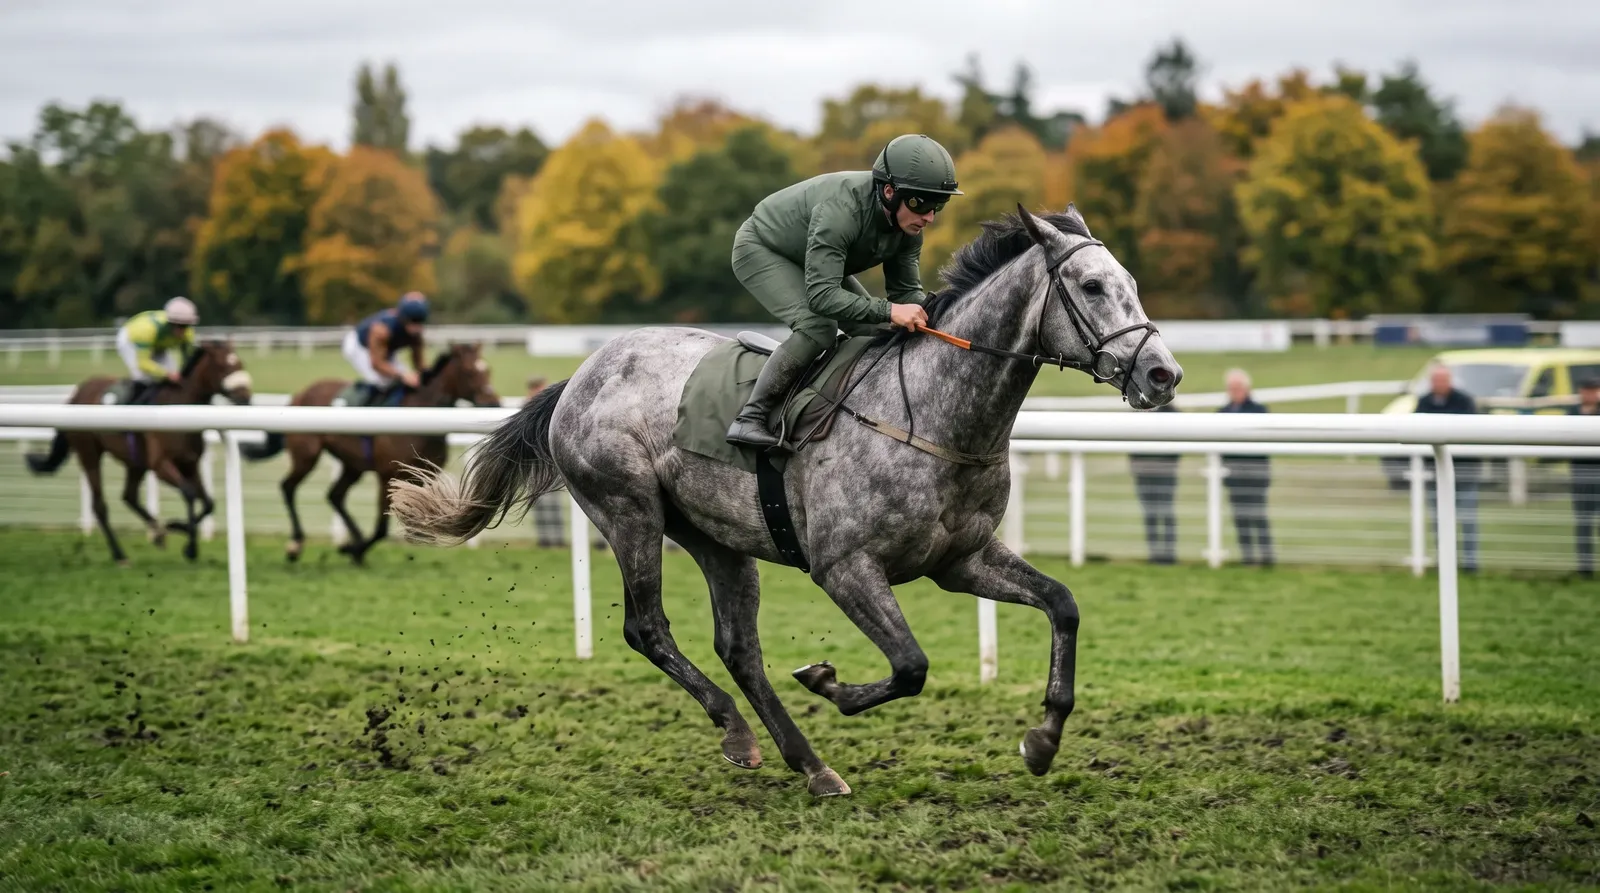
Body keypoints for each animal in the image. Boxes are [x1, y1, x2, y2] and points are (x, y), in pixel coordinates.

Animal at [24, 340, 254, 565]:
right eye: (223, 366)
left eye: (240, 363)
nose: (246, 398)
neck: (179, 409)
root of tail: (75, 395)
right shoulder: (161, 465)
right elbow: (189, 493)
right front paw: (187, 542)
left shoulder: (190, 464)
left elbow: (208, 503)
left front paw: (179, 531)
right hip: (89, 453)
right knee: (100, 505)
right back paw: (120, 555)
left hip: (135, 462)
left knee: (129, 496)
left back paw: (157, 532)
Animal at [241, 342, 500, 565]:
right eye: (469, 371)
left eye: (488, 370)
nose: (494, 403)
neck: (418, 412)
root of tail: (299, 394)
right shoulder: (387, 474)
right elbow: (381, 528)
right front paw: (356, 550)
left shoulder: (424, 474)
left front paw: (353, 549)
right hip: (307, 455)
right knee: (288, 487)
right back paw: (296, 544)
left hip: (352, 464)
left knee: (335, 495)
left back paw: (351, 541)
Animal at [389, 205, 1183, 796]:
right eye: (1090, 285)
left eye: (1130, 282)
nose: (1163, 373)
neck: (932, 415)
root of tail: (580, 374)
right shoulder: (845, 566)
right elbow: (910, 665)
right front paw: (827, 680)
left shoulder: (961, 559)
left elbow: (1062, 604)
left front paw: (1043, 739)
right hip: (628, 511)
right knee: (648, 628)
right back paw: (739, 733)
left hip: (717, 537)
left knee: (738, 648)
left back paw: (810, 764)